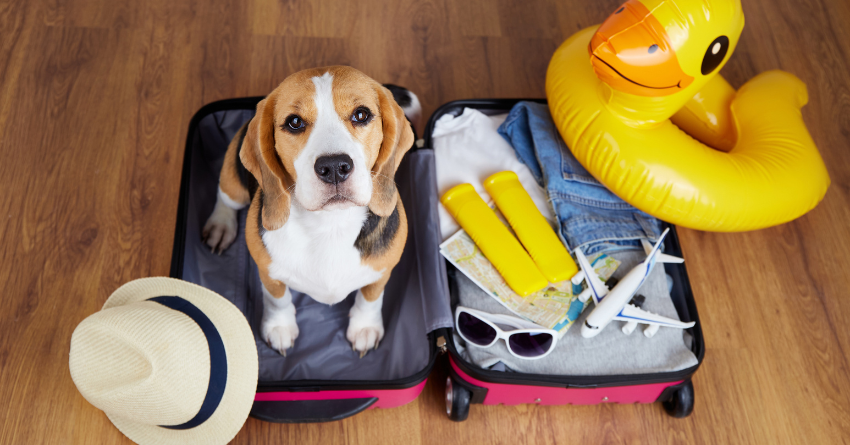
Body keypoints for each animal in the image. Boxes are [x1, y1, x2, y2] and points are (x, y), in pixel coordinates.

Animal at [200, 66, 416, 358]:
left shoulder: (382, 270)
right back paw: (221, 225)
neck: (330, 224)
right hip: (234, 180)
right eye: (294, 122)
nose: (334, 167)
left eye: (361, 115)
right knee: (225, 198)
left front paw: (365, 327)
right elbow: (278, 299)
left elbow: (370, 298)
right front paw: (279, 327)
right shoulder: (268, 270)